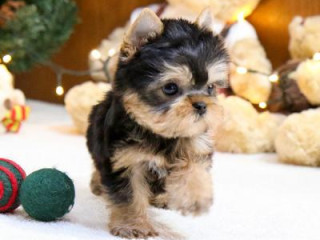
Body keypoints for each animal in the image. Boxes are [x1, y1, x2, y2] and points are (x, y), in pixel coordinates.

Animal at [86, 8, 229, 239]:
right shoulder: (124, 160)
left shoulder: (195, 143)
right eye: (170, 88)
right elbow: (129, 195)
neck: (161, 133)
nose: (201, 105)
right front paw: (133, 225)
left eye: (210, 88)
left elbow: (193, 168)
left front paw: (196, 197)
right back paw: (97, 183)